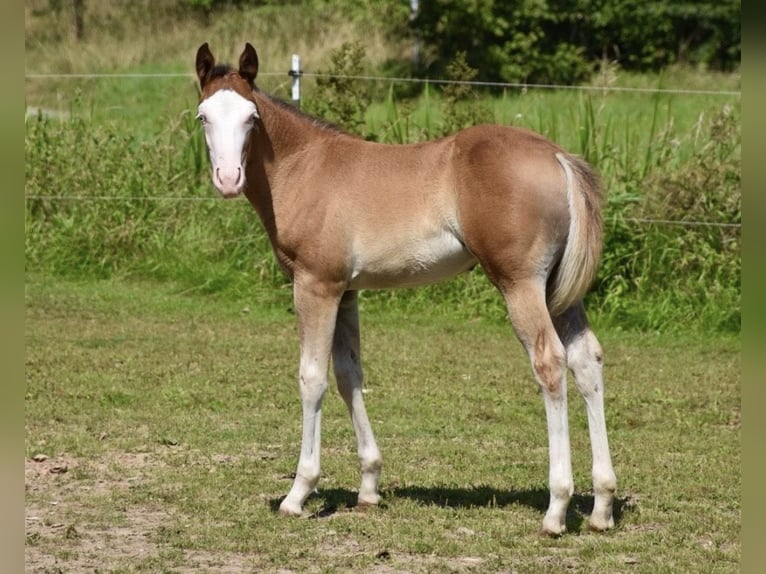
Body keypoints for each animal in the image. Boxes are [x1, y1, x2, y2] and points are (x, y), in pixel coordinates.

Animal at [193, 42, 616, 535]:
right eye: (203, 116)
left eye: (251, 117)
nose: (228, 179)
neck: (303, 166)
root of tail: (557, 157)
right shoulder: (347, 291)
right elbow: (349, 375)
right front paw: (369, 487)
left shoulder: (316, 285)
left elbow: (312, 378)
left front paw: (299, 493)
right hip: (558, 290)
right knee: (586, 360)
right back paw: (602, 507)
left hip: (521, 284)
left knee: (550, 362)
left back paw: (556, 509)